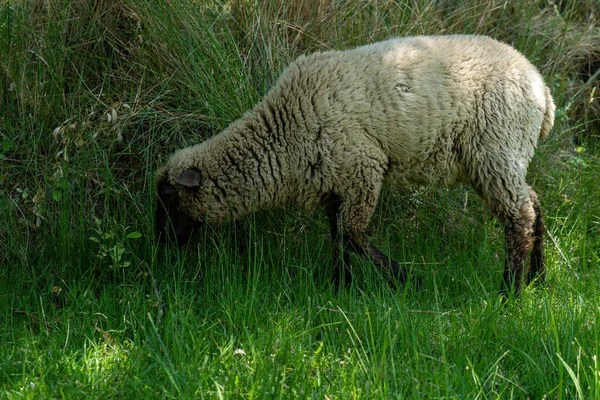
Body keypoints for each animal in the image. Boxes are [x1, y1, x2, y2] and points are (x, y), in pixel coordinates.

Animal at [155, 34, 552, 296]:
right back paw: (537, 277)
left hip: (496, 149)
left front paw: (408, 280)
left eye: (170, 199)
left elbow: (352, 235)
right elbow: (338, 237)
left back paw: (509, 291)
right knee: (533, 202)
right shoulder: (334, 183)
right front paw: (340, 287)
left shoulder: (363, 168)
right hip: (500, 158)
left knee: (519, 217)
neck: (283, 132)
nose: (161, 247)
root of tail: (542, 89)